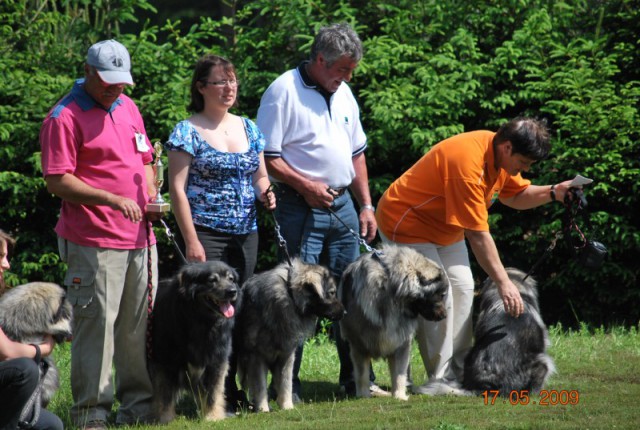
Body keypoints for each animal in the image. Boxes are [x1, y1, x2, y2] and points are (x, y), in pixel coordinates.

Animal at [149, 260, 241, 422]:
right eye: (212, 280)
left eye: (231, 279)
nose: (232, 291)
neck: (201, 320)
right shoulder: (166, 361)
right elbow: (165, 394)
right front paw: (165, 418)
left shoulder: (216, 360)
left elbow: (213, 392)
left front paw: (212, 416)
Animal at [235, 258, 344, 414]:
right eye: (332, 292)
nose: (344, 312)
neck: (289, 295)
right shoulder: (257, 357)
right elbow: (260, 385)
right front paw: (263, 408)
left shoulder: (286, 355)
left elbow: (285, 383)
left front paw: (287, 406)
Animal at [338, 244, 448, 402]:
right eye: (441, 295)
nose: (444, 316)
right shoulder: (359, 344)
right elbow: (362, 374)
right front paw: (364, 395)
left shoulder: (400, 343)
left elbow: (399, 374)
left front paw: (399, 395)